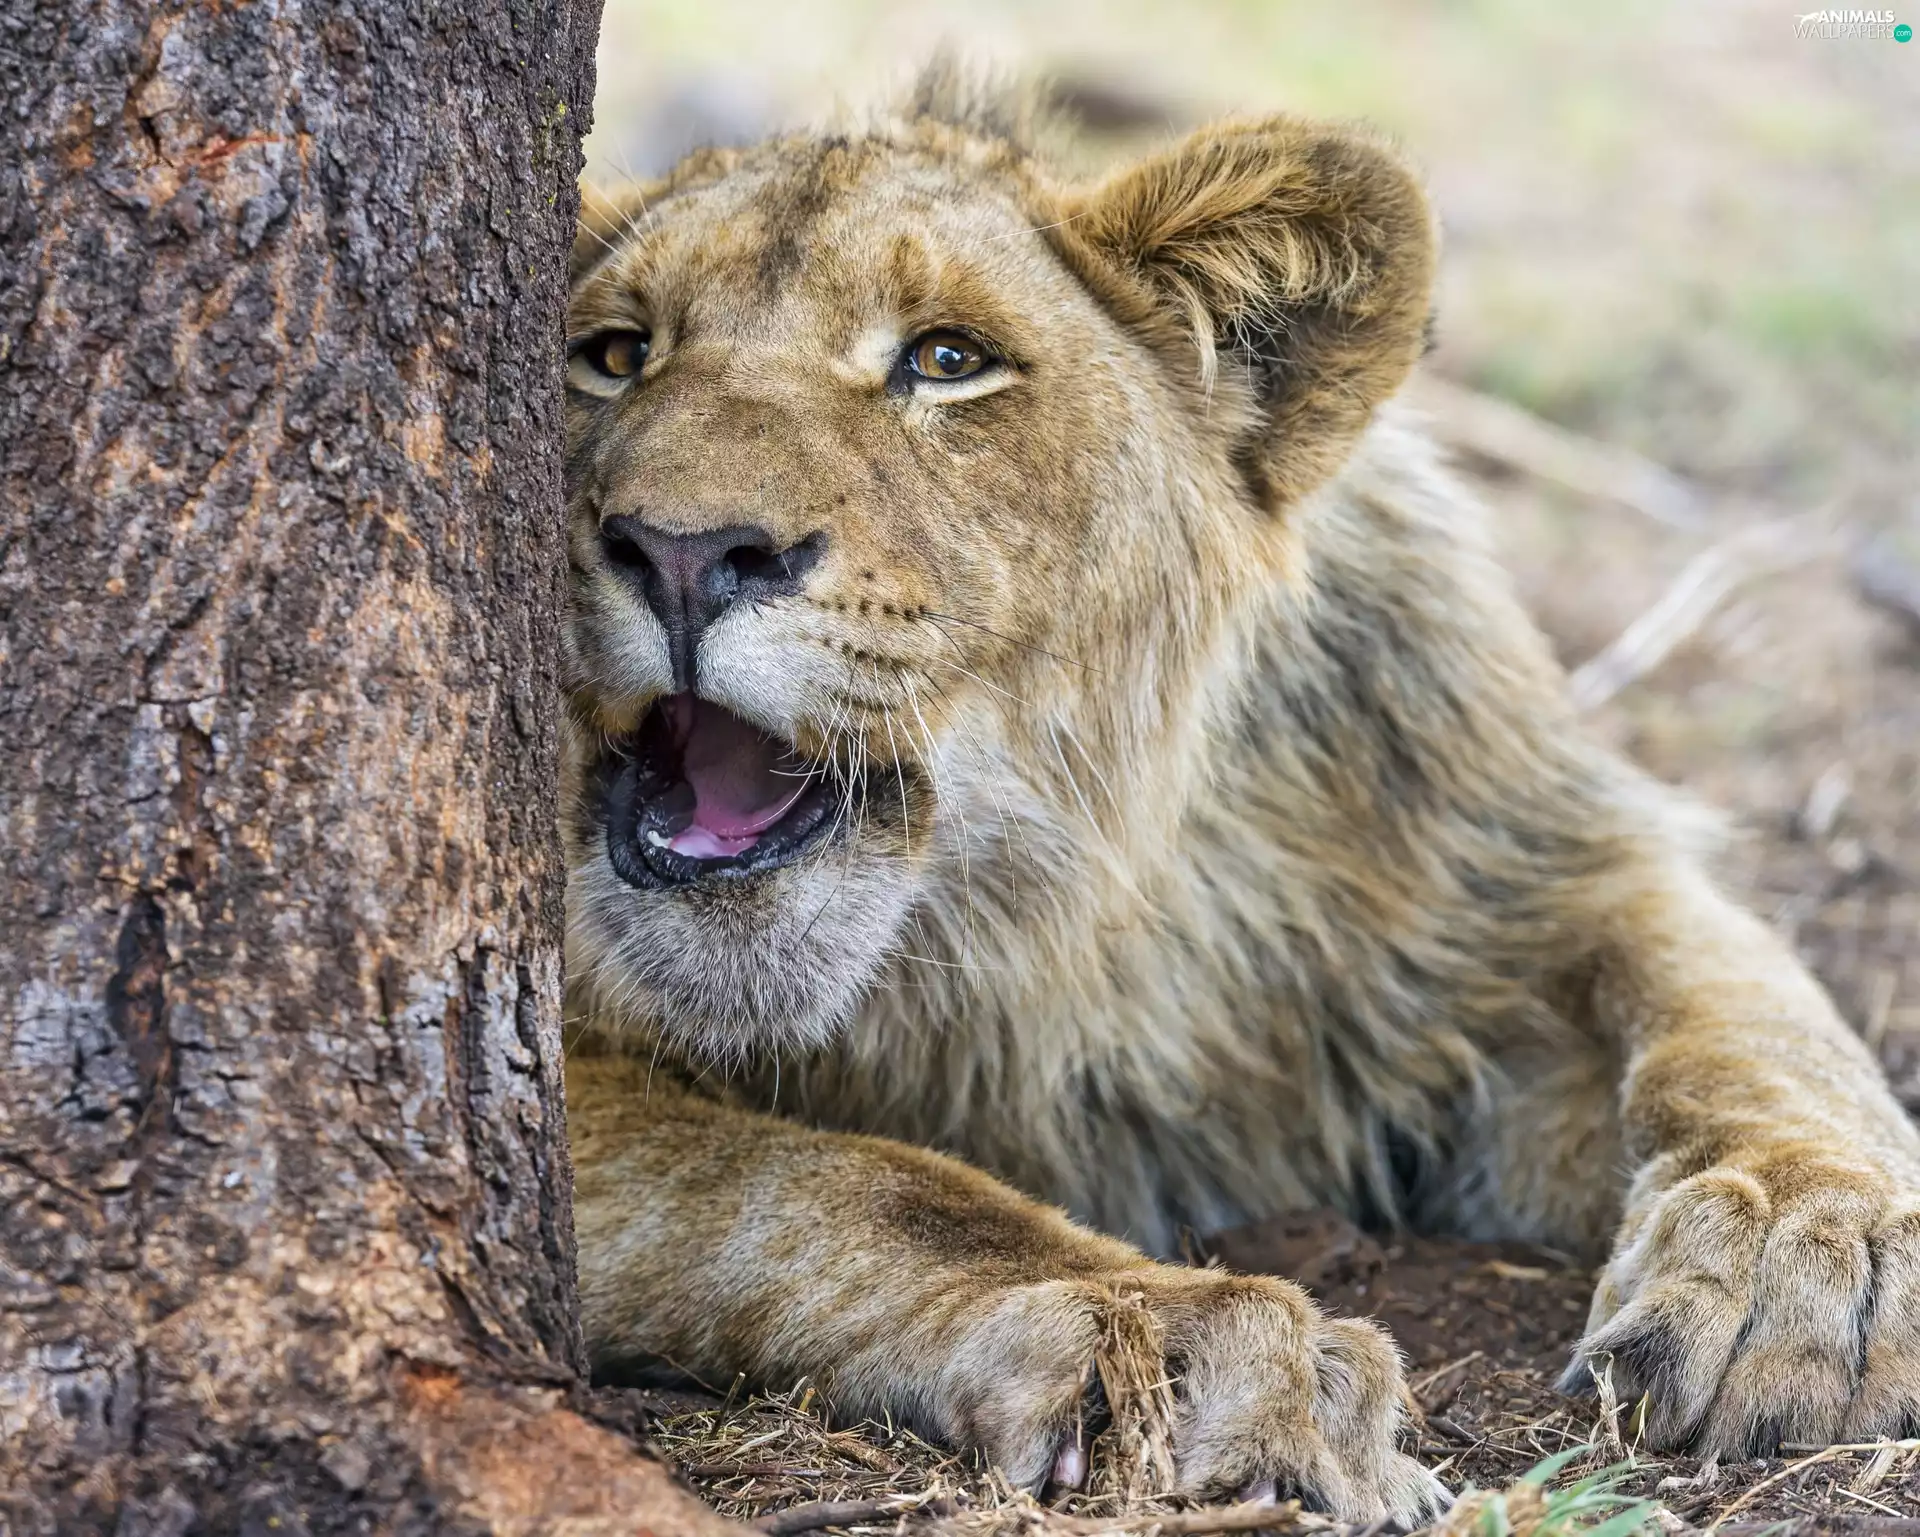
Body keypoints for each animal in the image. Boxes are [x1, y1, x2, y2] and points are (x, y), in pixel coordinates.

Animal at [559, 70, 1920, 1522]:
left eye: (945, 360)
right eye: (613, 355)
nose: (683, 552)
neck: (1053, 917)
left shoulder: (1529, 864)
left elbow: (1748, 1019)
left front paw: (1814, 1252)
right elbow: (827, 1180)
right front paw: (1186, 1341)